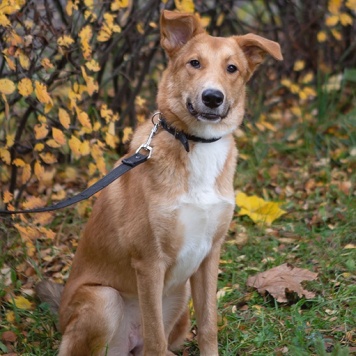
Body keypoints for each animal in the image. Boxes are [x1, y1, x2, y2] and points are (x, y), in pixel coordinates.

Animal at [35, 9, 280, 354]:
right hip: (104, 299)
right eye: (194, 63)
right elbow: (154, 336)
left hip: (181, 298)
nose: (212, 97)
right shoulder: (149, 262)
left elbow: (208, 326)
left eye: (232, 68)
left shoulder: (209, 255)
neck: (196, 144)